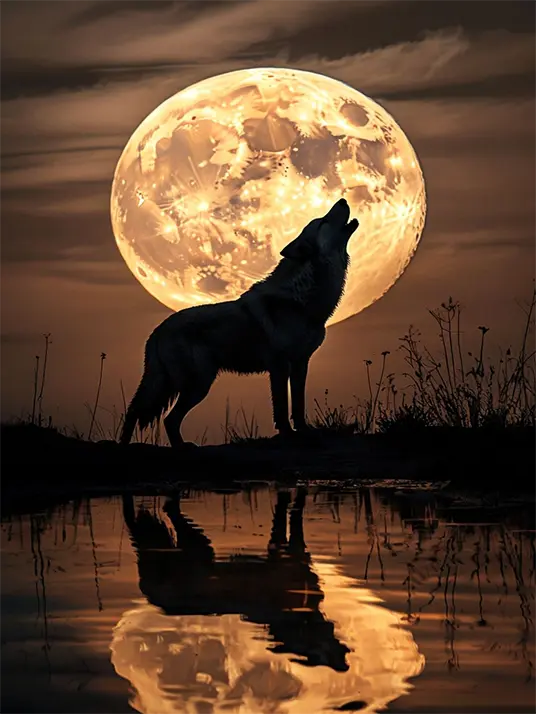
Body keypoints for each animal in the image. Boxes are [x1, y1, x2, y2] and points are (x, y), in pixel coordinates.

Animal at [120, 197, 359, 447]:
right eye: (323, 221)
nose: (343, 200)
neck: (302, 299)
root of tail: (156, 332)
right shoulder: (279, 364)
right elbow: (282, 407)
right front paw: (287, 434)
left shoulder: (301, 363)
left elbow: (299, 405)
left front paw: (304, 431)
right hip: (196, 383)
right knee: (163, 417)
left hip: (177, 383)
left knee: (144, 412)